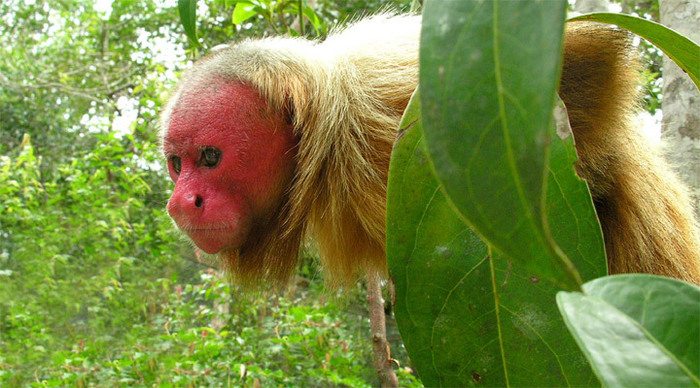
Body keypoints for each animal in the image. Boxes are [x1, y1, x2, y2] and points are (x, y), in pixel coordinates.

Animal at [161, 13, 700, 288]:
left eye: (210, 158)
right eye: (176, 164)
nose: (181, 203)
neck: (326, 147)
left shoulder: (390, 100)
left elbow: (592, 56)